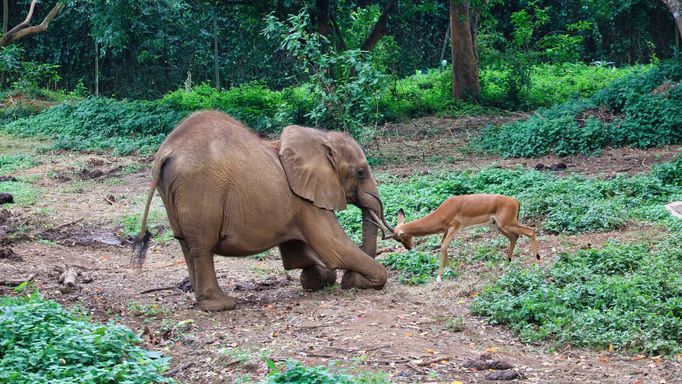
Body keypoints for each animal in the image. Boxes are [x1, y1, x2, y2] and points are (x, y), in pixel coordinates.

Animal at [135, 109, 390, 310]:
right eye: (361, 173)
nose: (352, 278)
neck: (319, 137)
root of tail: (166, 150)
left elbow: (297, 254)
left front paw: (321, 279)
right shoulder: (305, 201)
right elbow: (335, 249)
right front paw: (353, 281)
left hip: (172, 192)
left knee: (185, 244)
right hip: (199, 187)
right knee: (202, 247)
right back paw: (220, 305)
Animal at [382, 195, 536, 282]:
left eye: (400, 238)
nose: (409, 248)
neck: (443, 212)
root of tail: (515, 201)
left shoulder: (454, 228)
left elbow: (443, 246)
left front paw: (438, 278)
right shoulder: (446, 231)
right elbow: (444, 246)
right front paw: (449, 270)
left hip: (507, 224)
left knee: (531, 231)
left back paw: (536, 264)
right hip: (498, 226)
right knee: (515, 237)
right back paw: (505, 264)